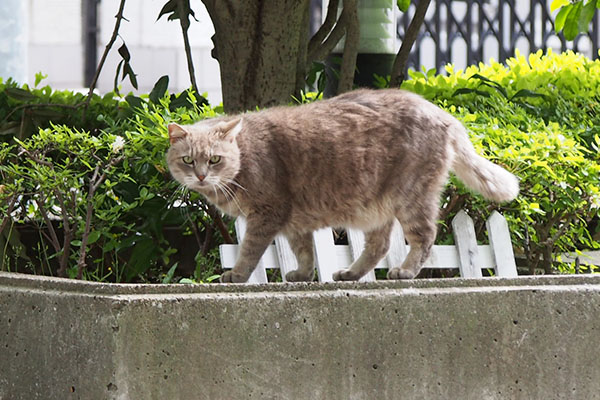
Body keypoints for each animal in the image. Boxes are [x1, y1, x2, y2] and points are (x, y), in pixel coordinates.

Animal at [166, 88, 516, 282]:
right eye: (188, 160)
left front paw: (237, 274)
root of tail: (441, 112)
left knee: (424, 236)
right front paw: (303, 275)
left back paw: (404, 271)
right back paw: (351, 273)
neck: (245, 156)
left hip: (411, 197)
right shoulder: (294, 221)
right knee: (379, 246)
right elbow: (303, 251)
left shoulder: (268, 213)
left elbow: (250, 251)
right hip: (378, 208)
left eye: (214, 159)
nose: (200, 176)